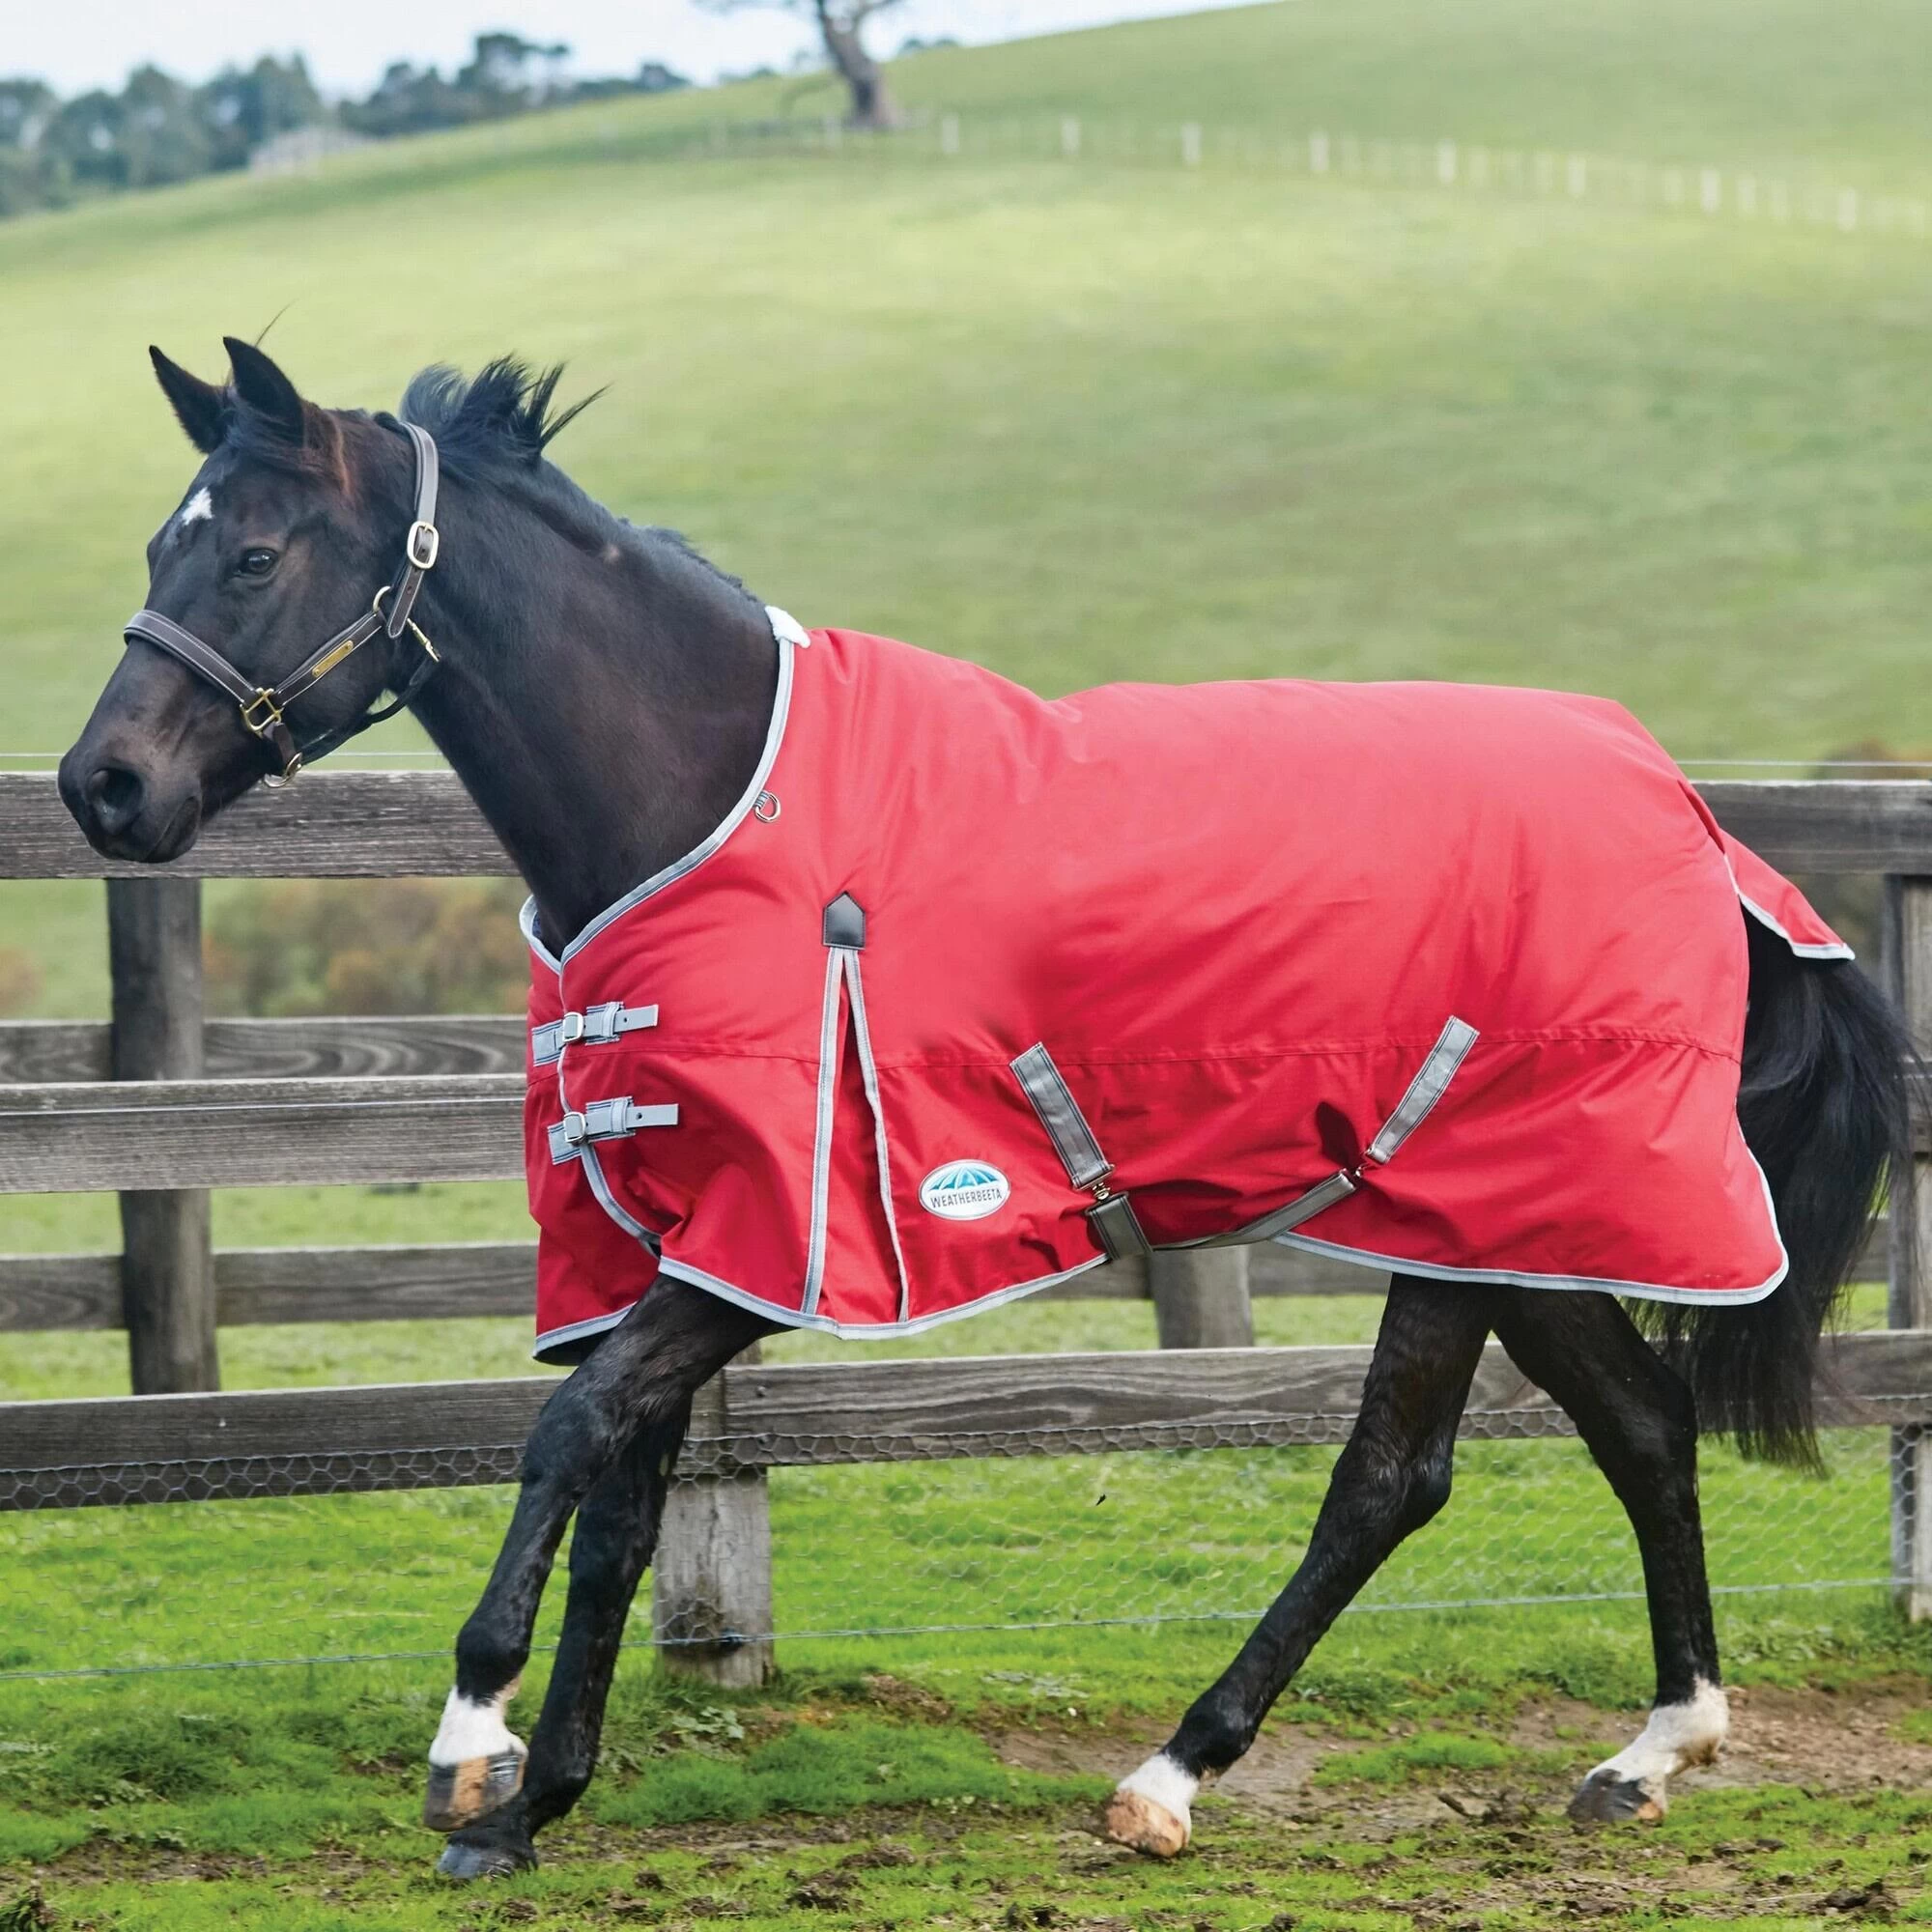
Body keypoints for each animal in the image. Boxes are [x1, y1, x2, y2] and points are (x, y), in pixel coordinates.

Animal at [59, 339, 1911, 1879]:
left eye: (252, 554)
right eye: (153, 548)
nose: (103, 787)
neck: (717, 804)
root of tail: (1701, 827)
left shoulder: (764, 1249)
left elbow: (571, 1438)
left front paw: (473, 1748)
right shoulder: (664, 1235)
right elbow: (627, 1498)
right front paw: (538, 1804)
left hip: (1475, 1215)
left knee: (1393, 1480)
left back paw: (1173, 1778)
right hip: (1508, 1224)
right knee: (1640, 1427)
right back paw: (1650, 1752)